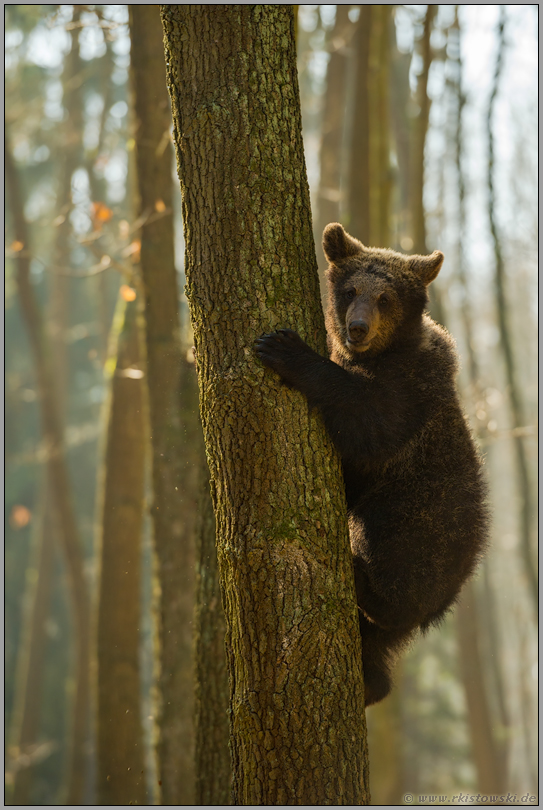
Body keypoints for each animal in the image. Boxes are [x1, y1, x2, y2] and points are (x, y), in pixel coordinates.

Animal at [255, 224, 488, 704]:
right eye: (350, 290)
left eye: (385, 297)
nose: (357, 327)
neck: (378, 356)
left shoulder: (411, 392)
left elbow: (367, 419)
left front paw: (284, 348)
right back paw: (372, 681)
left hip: (419, 512)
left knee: (395, 566)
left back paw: (365, 582)